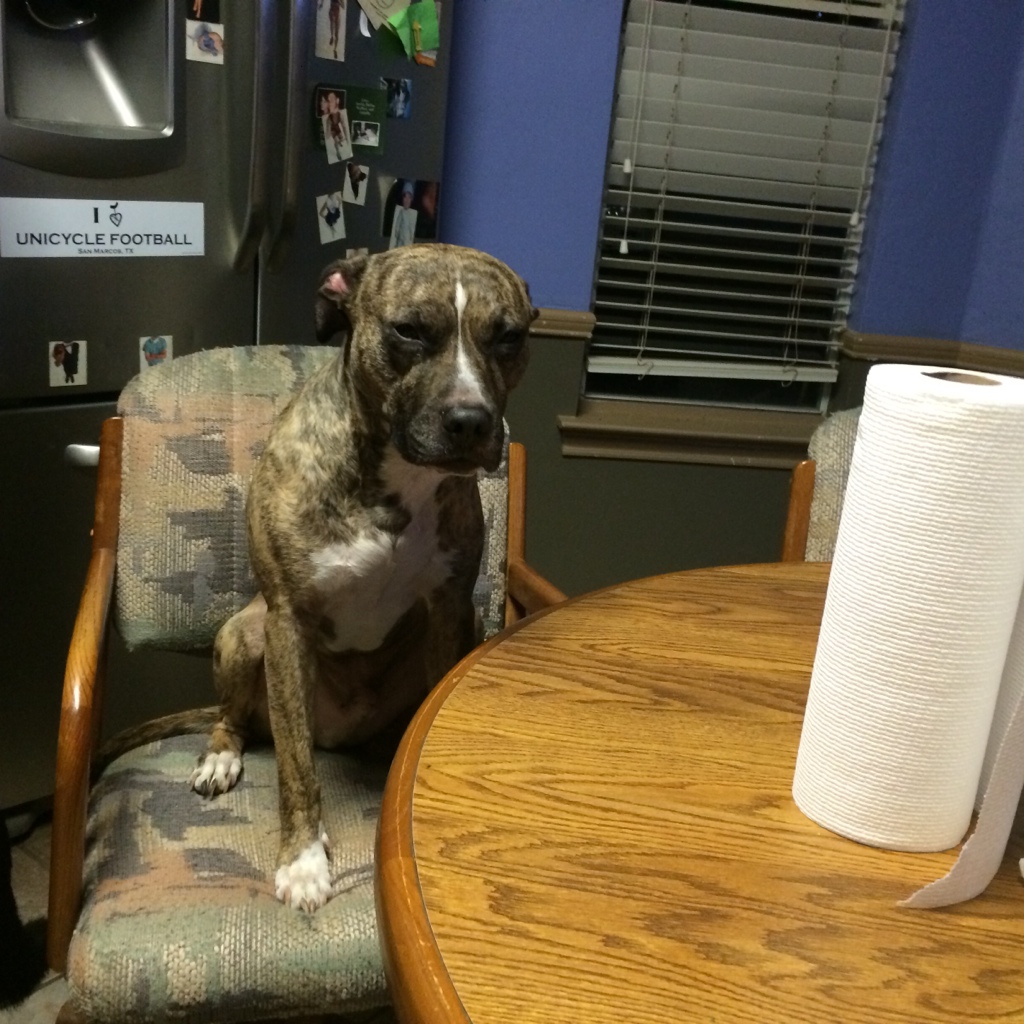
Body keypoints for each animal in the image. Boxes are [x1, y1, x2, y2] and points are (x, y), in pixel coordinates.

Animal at [186, 244, 535, 911]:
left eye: (508, 337)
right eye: (409, 330)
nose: (472, 420)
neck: (393, 482)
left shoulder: (450, 610)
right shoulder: (288, 623)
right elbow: (295, 769)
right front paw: (302, 861)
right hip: (244, 635)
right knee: (237, 721)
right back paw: (221, 758)